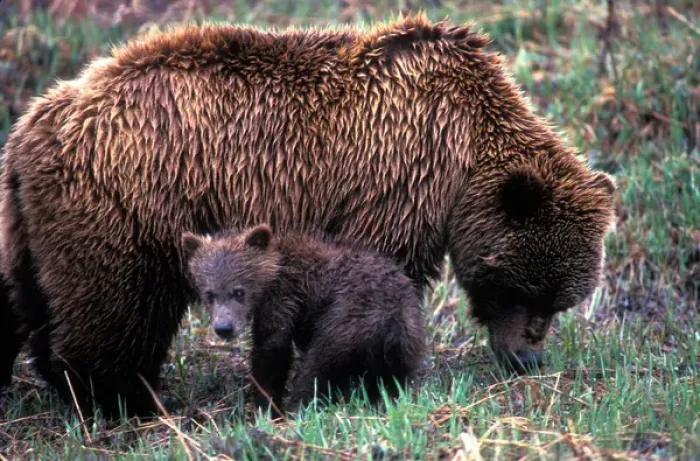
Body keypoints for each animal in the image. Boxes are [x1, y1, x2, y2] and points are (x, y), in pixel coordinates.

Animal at [182, 224, 427, 412]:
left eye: (239, 291)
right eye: (209, 294)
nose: (224, 327)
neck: (272, 274)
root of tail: (390, 320)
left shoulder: (284, 296)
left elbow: (272, 348)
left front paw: (266, 406)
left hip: (346, 322)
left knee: (317, 366)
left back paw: (298, 407)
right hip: (407, 340)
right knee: (395, 379)